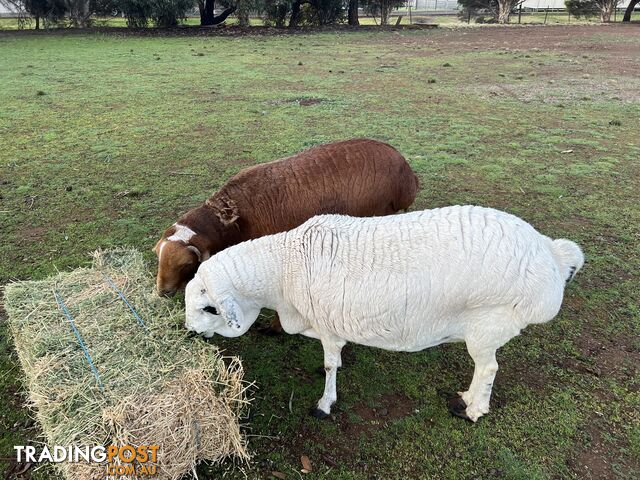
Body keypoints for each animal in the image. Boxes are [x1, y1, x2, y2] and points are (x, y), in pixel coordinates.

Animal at [152, 139, 418, 328]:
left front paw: (277, 326)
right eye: (158, 258)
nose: (162, 293)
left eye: (187, 265)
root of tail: (408, 175)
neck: (233, 220)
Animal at [182, 204, 584, 422]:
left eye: (209, 308)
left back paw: (472, 409)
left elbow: (329, 365)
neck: (283, 270)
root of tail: (551, 254)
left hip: (488, 325)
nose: (188, 332)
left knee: (488, 369)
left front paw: (325, 403)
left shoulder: (326, 323)